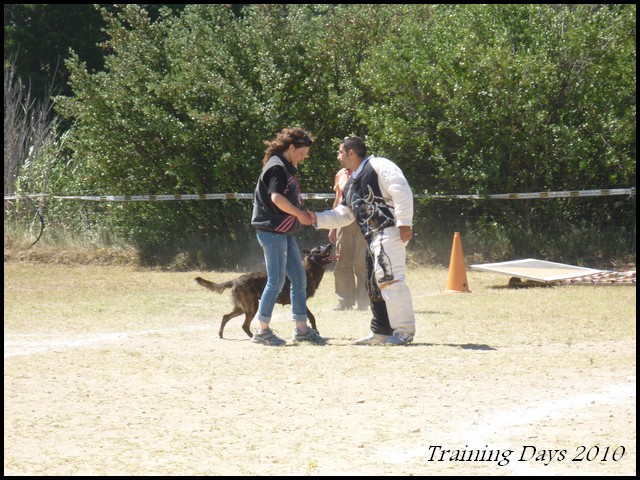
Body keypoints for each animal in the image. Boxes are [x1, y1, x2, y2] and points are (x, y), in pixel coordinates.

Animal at [194, 244, 336, 338]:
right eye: (318, 249)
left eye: (323, 245)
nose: (330, 244)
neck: (309, 271)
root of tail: (236, 280)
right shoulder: (299, 301)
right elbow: (311, 316)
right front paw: (314, 331)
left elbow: (309, 317)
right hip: (252, 307)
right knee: (244, 325)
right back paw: (253, 337)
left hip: (242, 308)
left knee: (225, 317)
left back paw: (221, 334)